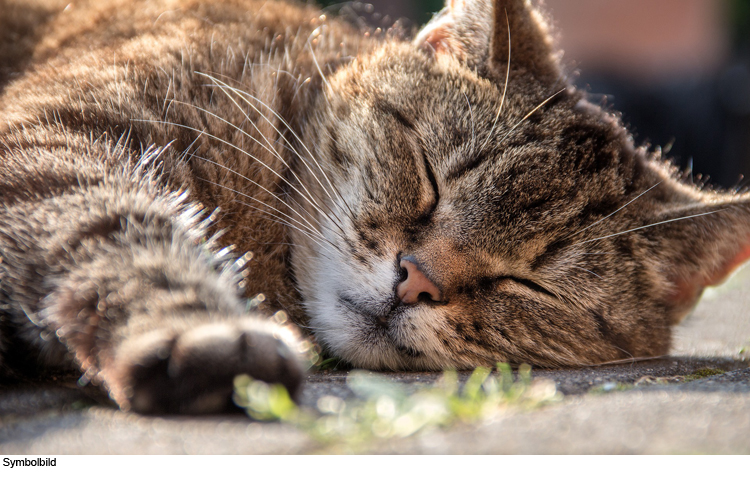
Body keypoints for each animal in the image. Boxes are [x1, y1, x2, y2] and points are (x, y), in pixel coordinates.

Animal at [1, 0, 750, 416]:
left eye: (527, 282)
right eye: (429, 177)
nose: (415, 280)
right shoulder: (52, 139)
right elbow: (112, 232)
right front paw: (196, 330)